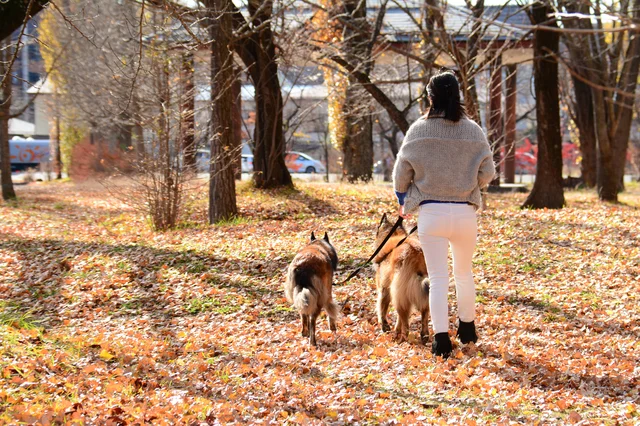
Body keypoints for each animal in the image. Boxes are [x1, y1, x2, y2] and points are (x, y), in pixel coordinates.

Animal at [372, 215, 432, 344]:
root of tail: (417, 253)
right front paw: (395, 330)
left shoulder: (384, 290)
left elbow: (382, 309)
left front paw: (385, 327)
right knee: (423, 315)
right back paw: (424, 336)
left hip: (398, 293)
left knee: (406, 322)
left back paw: (402, 340)